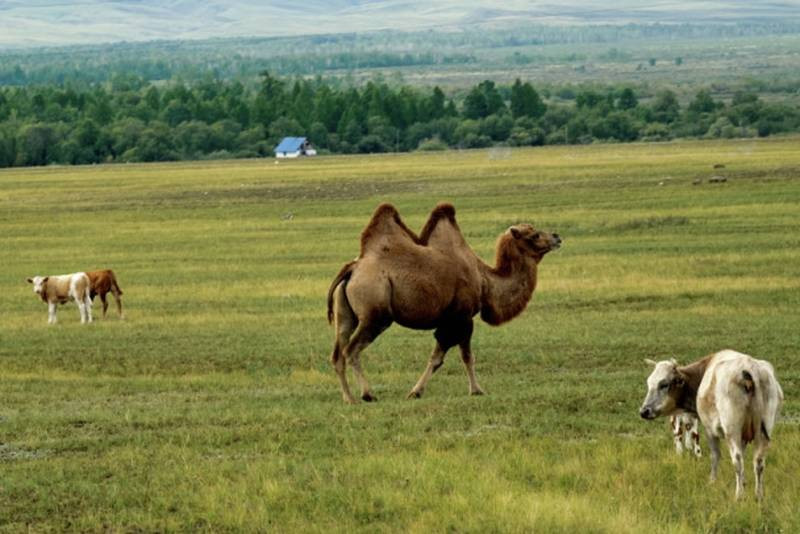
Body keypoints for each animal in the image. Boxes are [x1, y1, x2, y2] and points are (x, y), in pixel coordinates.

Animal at [326, 202, 562, 404]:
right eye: (534, 235)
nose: (557, 237)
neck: (484, 280)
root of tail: (352, 269)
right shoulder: (462, 317)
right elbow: (459, 356)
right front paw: (475, 390)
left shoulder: (451, 320)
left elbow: (444, 356)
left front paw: (418, 391)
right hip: (375, 314)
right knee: (351, 350)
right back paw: (367, 394)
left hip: (345, 316)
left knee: (337, 353)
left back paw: (349, 398)